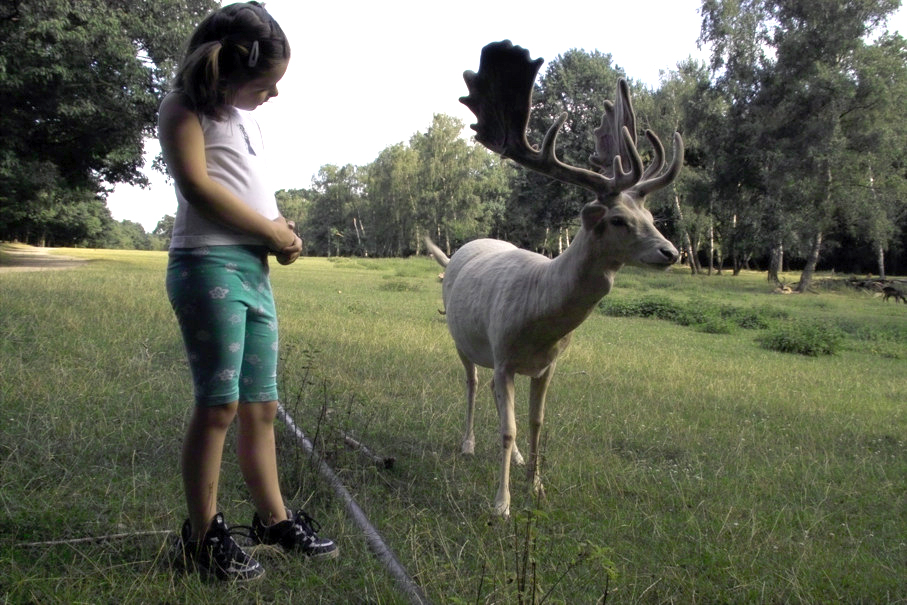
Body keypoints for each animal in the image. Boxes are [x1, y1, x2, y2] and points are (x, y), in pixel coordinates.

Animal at [430, 40, 684, 516]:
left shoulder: (547, 366)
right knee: (472, 384)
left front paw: (537, 486)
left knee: (490, 395)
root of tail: (461, 249)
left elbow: (535, 423)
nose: (671, 252)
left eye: (651, 216)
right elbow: (507, 426)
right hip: (462, 340)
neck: (540, 315)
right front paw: (501, 504)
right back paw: (468, 443)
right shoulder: (504, 355)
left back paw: (514, 457)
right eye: (618, 219)